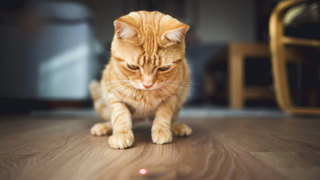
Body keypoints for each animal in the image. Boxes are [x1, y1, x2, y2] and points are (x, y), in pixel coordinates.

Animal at [89, 10, 191, 149]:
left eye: (164, 68)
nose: (147, 85)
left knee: (173, 118)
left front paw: (161, 130)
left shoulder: (171, 96)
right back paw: (105, 127)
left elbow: (164, 114)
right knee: (111, 118)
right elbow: (120, 116)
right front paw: (121, 133)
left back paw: (176, 127)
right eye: (133, 66)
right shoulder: (114, 95)